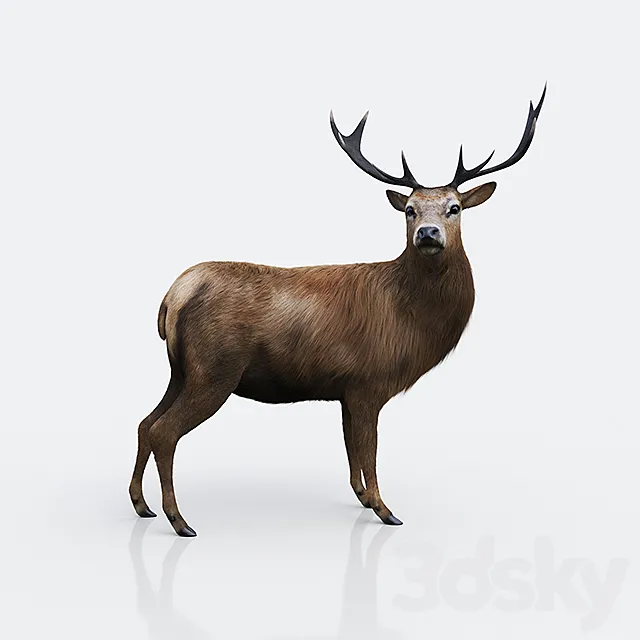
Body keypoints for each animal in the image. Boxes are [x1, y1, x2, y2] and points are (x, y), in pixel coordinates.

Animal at [129, 87, 546, 536]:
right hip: (215, 368)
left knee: (145, 423)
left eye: (455, 208)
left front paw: (362, 499)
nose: (428, 234)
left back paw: (141, 505)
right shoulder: (370, 381)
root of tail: (173, 297)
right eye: (410, 209)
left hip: (180, 369)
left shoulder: (346, 389)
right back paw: (178, 520)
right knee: (165, 431)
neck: (411, 320)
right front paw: (385, 509)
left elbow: (351, 454)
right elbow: (369, 452)